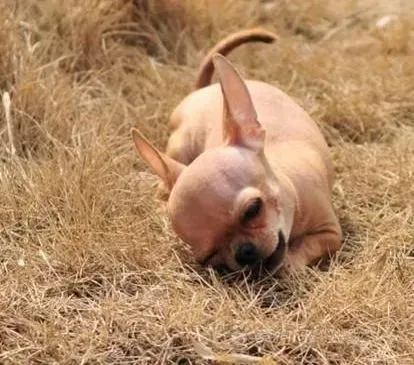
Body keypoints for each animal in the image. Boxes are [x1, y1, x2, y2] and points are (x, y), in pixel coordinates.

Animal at [131, 28, 342, 272]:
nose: (244, 252)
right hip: (178, 148)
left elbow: (308, 245)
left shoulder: (331, 233)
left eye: (252, 210)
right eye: (211, 256)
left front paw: (291, 262)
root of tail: (203, 89)